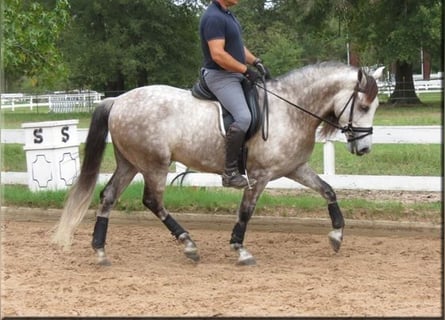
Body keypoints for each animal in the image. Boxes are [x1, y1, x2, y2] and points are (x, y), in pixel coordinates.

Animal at [51, 61, 378, 266]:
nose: (364, 148)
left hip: (130, 163)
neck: (291, 109)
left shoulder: (294, 168)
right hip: (154, 164)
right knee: (153, 201)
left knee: (108, 196)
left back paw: (100, 251)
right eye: (363, 106)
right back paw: (188, 244)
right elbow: (246, 211)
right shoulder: (259, 175)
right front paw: (240, 250)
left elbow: (328, 190)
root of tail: (117, 101)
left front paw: (336, 236)